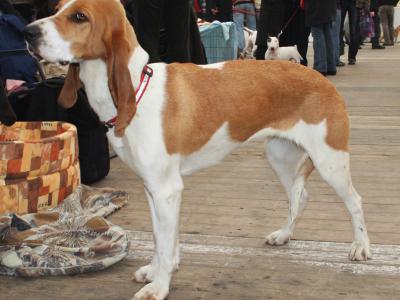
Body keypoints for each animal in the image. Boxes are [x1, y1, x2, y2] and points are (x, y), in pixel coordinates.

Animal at [24, 1, 372, 298]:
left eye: (79, 17)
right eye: (56, 9)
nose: (28, 32)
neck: (137, 90)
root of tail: (321, 78)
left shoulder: (167, 189)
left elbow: (165, 243)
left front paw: (159, 286)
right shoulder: (154, 189)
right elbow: (161, 239)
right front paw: (157, 271)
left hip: (330, 160)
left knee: (354, 201)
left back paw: (361, 247)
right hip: (279, 156)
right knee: (300, 196)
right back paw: (284, 234)